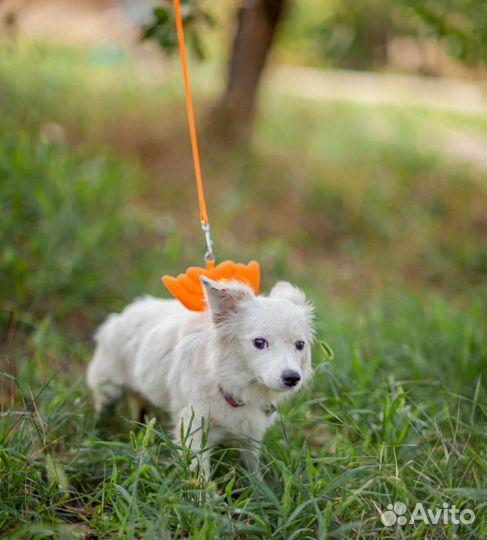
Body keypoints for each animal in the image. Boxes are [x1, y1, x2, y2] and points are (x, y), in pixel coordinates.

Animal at [86, 278, 316, 476]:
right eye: (260, 342)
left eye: (300, 345)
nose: (292, 377)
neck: (230, 384)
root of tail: (122, 314)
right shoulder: (193, 431)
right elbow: (199, 476)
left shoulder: (251, 435)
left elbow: (253, 467)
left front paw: (259, 490)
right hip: (109, 387)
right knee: (102, 406)